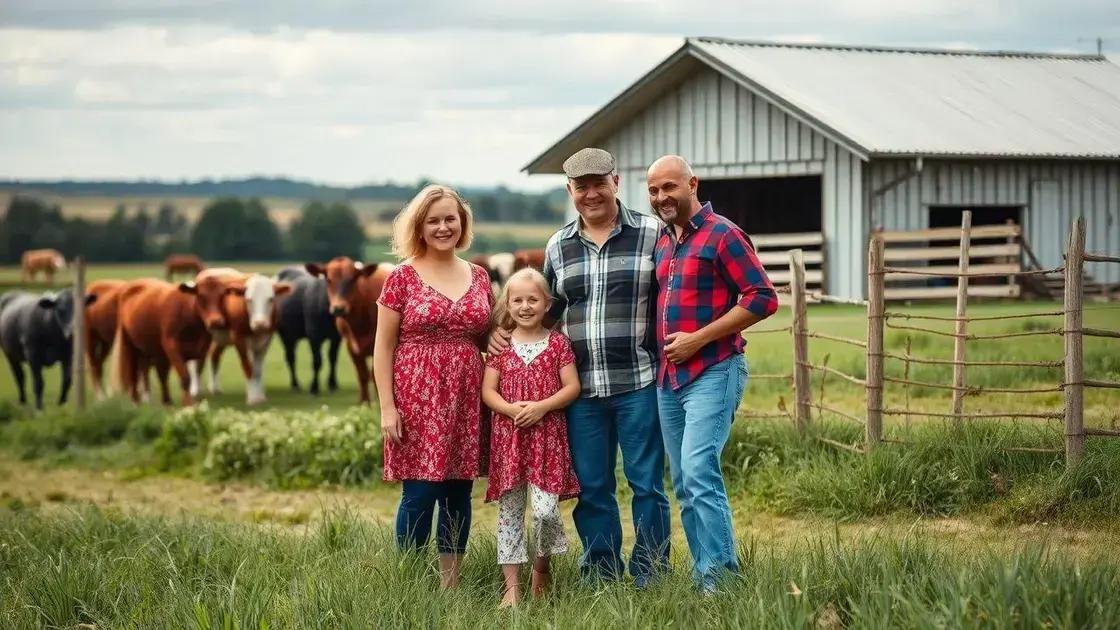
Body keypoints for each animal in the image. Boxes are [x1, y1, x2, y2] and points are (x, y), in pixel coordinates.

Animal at [274, 263, 340, 392]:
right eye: (329, 280)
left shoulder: (337, 337)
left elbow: (333, 358)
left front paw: (332, 383)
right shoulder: (314, 336)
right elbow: (317, 361)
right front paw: (314, 387)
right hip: (285, 335)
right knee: (290, 358)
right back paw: (295, 384)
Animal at [306, 255, 394, 401]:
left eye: (352, 279)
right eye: (328, 279)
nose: (339, 308)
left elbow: (374, 376)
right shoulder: (351, 346)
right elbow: (362, 376)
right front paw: (364, 403)